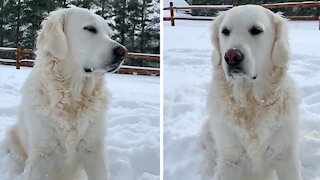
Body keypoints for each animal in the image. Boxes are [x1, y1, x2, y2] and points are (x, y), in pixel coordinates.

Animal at [6, 7, 126, 180]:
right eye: (90, 29)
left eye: (109, 34)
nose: (123, 52)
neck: (72, 96)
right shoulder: (42, 154)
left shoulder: (94, 151)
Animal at [202, 4, 302, 180]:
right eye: (225, 31)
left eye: (256, 30)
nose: (231, 56)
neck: (250, 102)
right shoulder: (230, 159)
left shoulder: (285, 156)